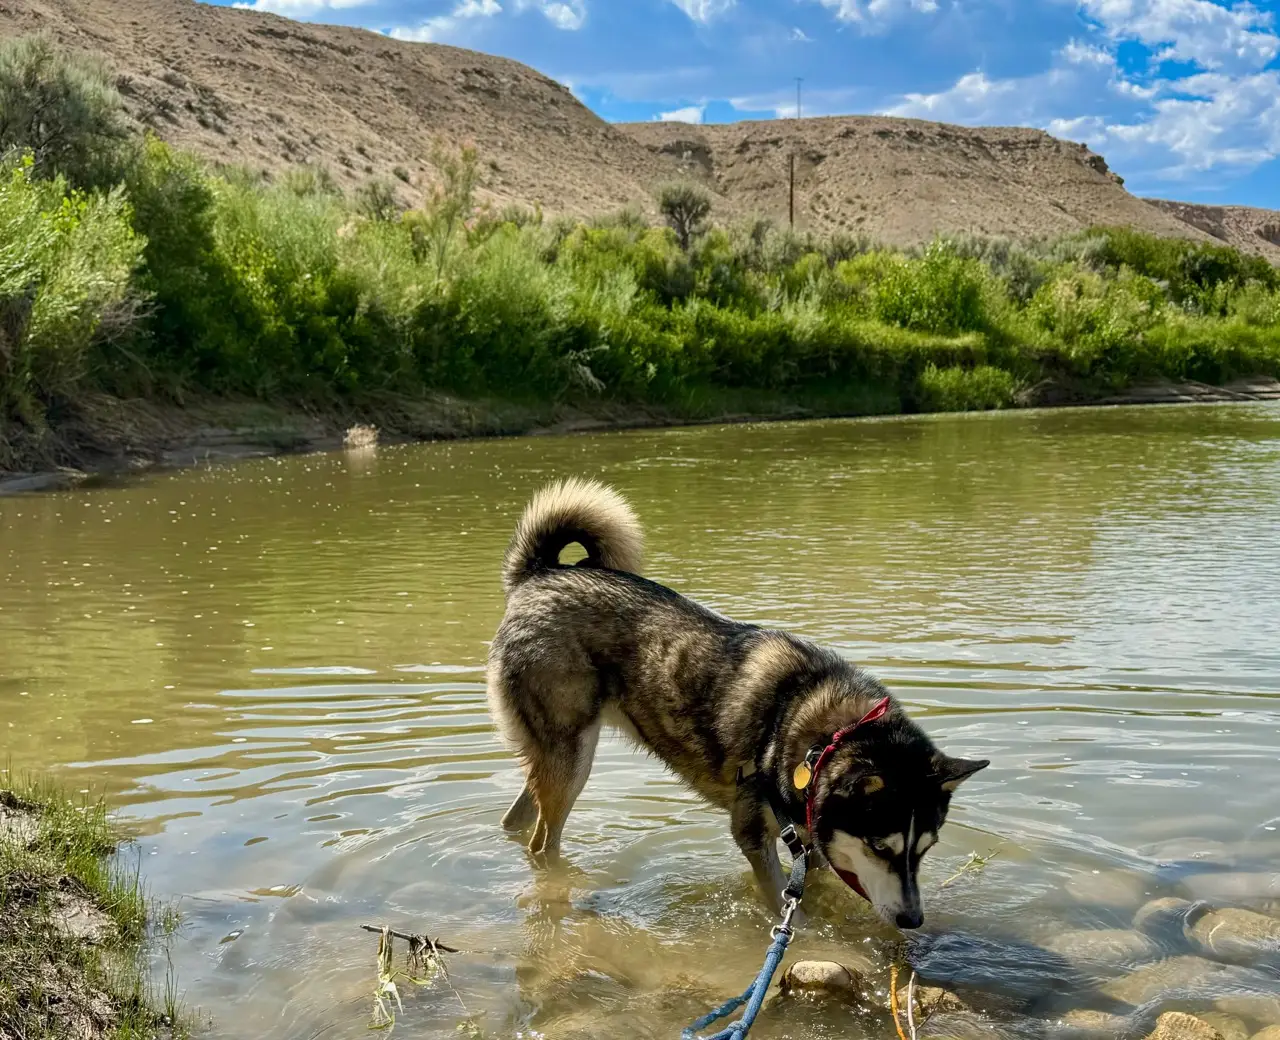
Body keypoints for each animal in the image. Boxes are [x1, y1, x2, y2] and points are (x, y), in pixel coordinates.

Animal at [488, 479, 988, 927]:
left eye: (926, 850)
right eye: (881, 847)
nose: (912, 920)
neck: (815, 729)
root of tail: (540, 574)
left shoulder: (809, 838)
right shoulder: (751, 832)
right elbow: (788, 906)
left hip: (560, 758)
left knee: (518, 818)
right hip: (573, 758)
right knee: (541, 842)